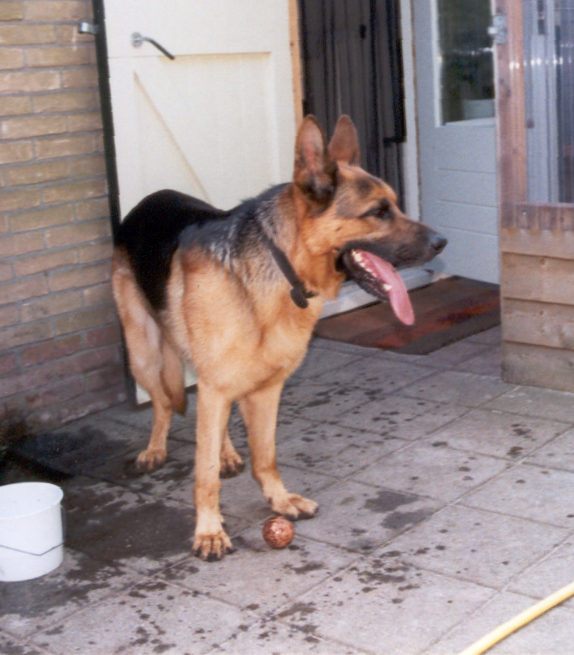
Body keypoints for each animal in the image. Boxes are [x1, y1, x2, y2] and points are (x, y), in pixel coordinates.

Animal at [110, 115, 448, 560]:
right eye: (378, 212)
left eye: (395, 205)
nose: (443, 242)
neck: (285, 271)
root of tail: (143, 203)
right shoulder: (218, 383)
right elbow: (204, 472)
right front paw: (209, 530)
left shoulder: (267, 388)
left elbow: (264, 455)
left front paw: (279, 499)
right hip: (144, 356)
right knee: (165, 404)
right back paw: (155, 448)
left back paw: (226, 451)